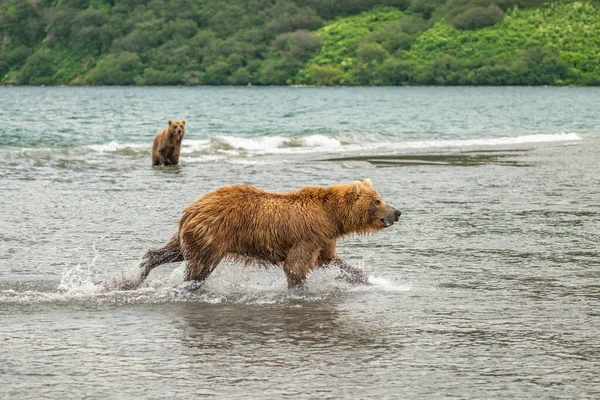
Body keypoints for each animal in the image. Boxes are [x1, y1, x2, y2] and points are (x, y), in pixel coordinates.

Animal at [136, 178, 398, 288]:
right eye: (377, 201)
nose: (397, 212)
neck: (332, 217)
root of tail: (192, 206)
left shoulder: (323, 238)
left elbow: (330, 260)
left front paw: (365, 278)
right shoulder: (308, 236)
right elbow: (295, 266)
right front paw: (299, 288)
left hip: (193, 235)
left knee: (172, 251)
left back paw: (138, 273)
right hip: (212, 236)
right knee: (200, 267)